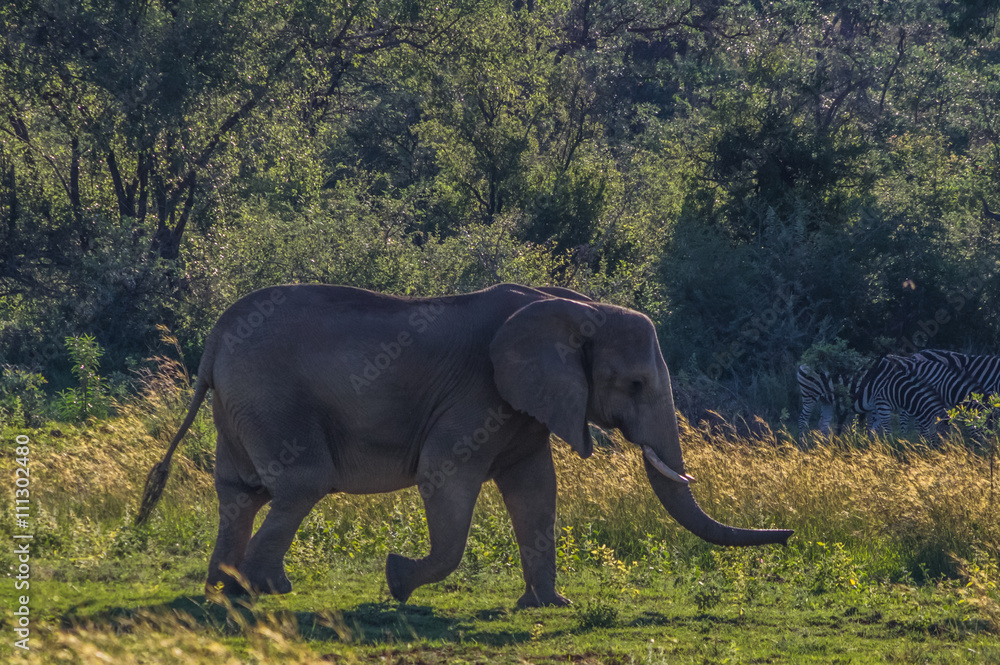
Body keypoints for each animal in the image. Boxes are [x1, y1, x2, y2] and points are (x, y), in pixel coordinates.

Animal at [137, 283, 792, 607]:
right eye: (633, 384)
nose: (788, 534)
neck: (575, 307)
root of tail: (215, 337)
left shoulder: (525, 404)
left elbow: (536, 490)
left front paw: (550, 608)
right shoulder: (480, 392)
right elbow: (443, 473)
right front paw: (398, 582)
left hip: (239, 405)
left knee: (241, 492)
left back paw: (223, 591)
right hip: (272, 398)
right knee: (300, 484)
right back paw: (266, 591)